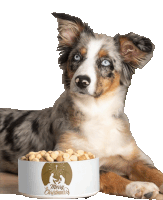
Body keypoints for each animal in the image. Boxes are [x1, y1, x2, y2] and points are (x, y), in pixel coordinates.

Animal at [0, 12, 163, 198]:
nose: (81, 81)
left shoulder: (132, 156)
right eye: (77, 57)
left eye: (105, 62)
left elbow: (152, 170)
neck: (97, 112)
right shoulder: (68, 152)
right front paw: (138, 186)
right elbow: (108, 174)